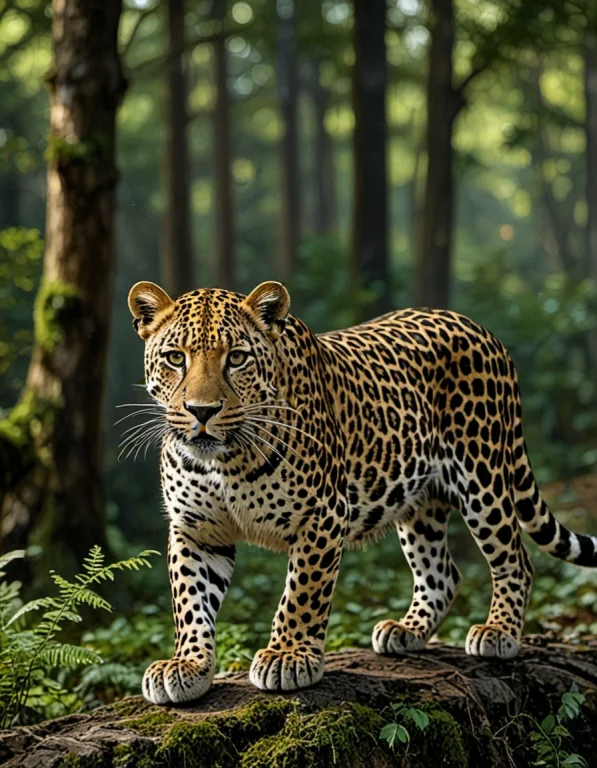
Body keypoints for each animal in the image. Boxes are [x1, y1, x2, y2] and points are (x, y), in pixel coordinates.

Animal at [127, 279, 597, 705]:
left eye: (237, 358)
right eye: (175, 358)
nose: (201, 411)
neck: (223, 462)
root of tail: (480, 328)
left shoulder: (323, 516)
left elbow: (301, 594)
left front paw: (288, 657)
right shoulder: (196, 529)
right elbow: (190, 602)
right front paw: (187, 665)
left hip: (483, 478)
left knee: (516, 560)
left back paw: (498, 632)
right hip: (419, 501)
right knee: (442, 572)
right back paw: (407, 631)